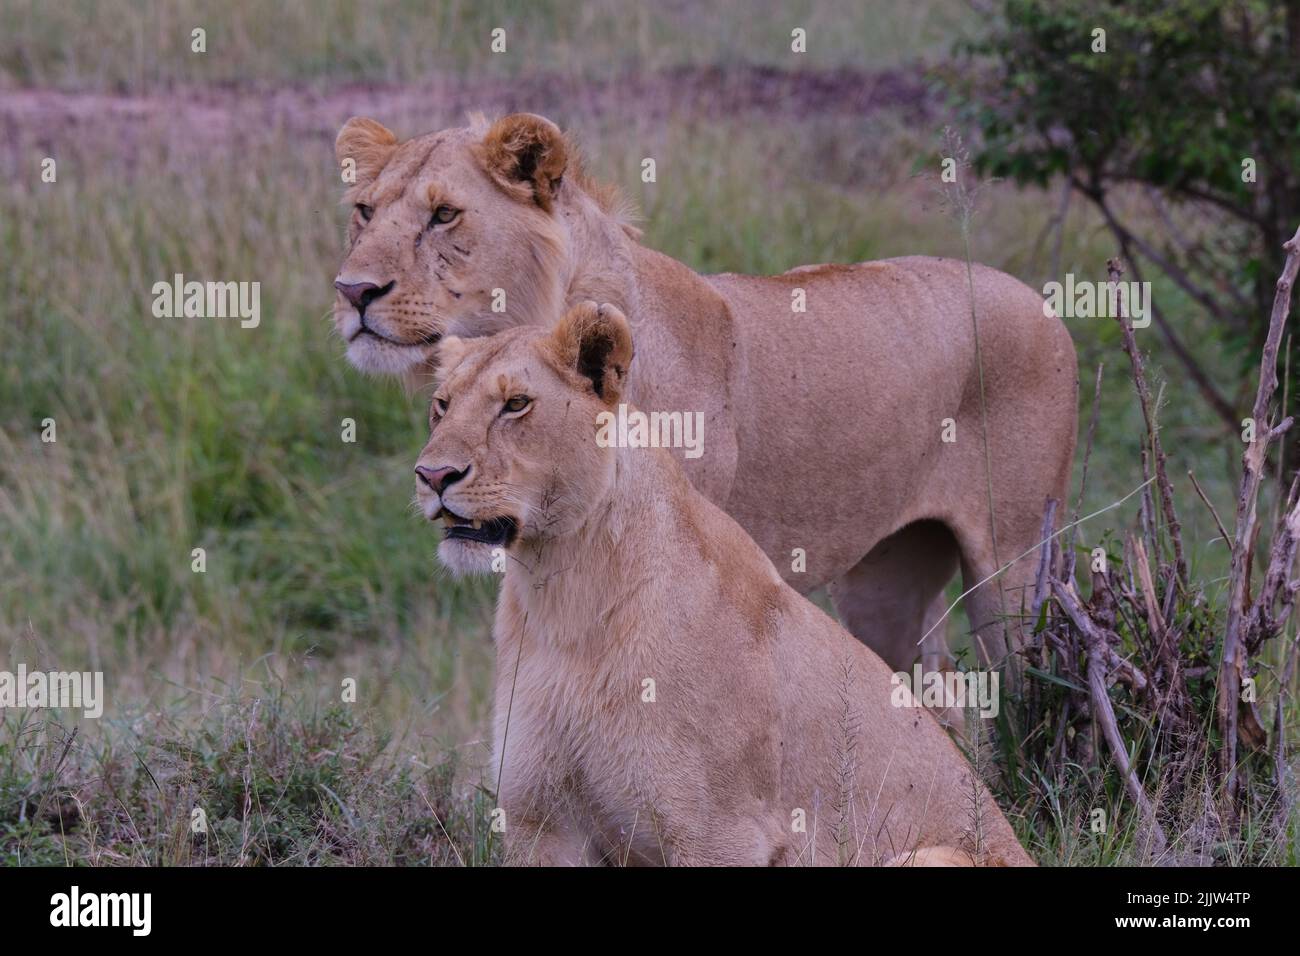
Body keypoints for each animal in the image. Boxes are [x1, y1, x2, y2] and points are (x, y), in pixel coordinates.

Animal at [335, 111, 1078, 672]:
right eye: (363, 212)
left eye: (444, 215)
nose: (353, 290)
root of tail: (1043, 305)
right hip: (885, 579)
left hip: (1011, 563)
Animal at [412, 301, 1034, 866]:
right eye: (441, 406)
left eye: (515, 404)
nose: (433, 475)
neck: (561, 591)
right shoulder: (539, 823)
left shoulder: (718, 830)